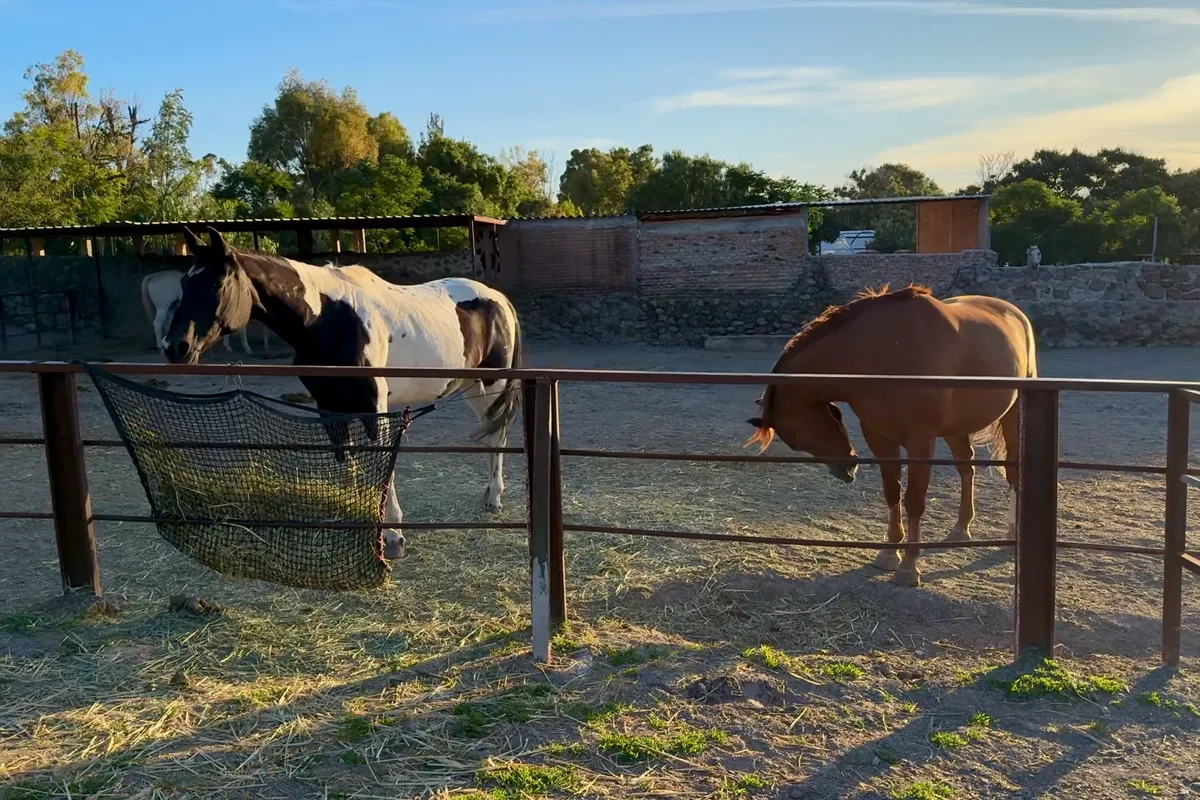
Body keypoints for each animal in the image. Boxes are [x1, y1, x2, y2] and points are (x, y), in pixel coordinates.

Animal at [141, 269, 270, 356]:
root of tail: (153, 275)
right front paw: (247, 348)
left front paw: (228, 346)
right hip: (162, 307)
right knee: (158, 324)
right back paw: (160, 346)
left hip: (171, 307)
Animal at [160, 226, 523, 561]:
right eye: (184, 284)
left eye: (218, 284)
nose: (175, 347)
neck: (328, 319)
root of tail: (498, 298)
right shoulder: (329, 407)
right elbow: (344, 461)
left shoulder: (373, 408)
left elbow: (382, 469)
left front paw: (392, 536)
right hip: (470, 387)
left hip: (492, 385)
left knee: (498, 435)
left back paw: (494, 496)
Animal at [746, 285, 1038, 588]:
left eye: (799, 440)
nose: (846, 468)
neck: (883, 352)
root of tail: (1014, 313)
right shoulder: (879, 438)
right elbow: (892, 493)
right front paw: (888, 554)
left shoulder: (921, 442)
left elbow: (914, 501)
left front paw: (909, 567)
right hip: (955, 427)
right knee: (966, 467)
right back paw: (960, 528)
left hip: (1013, 415)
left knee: (1013, 473)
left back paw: (1011, 533)